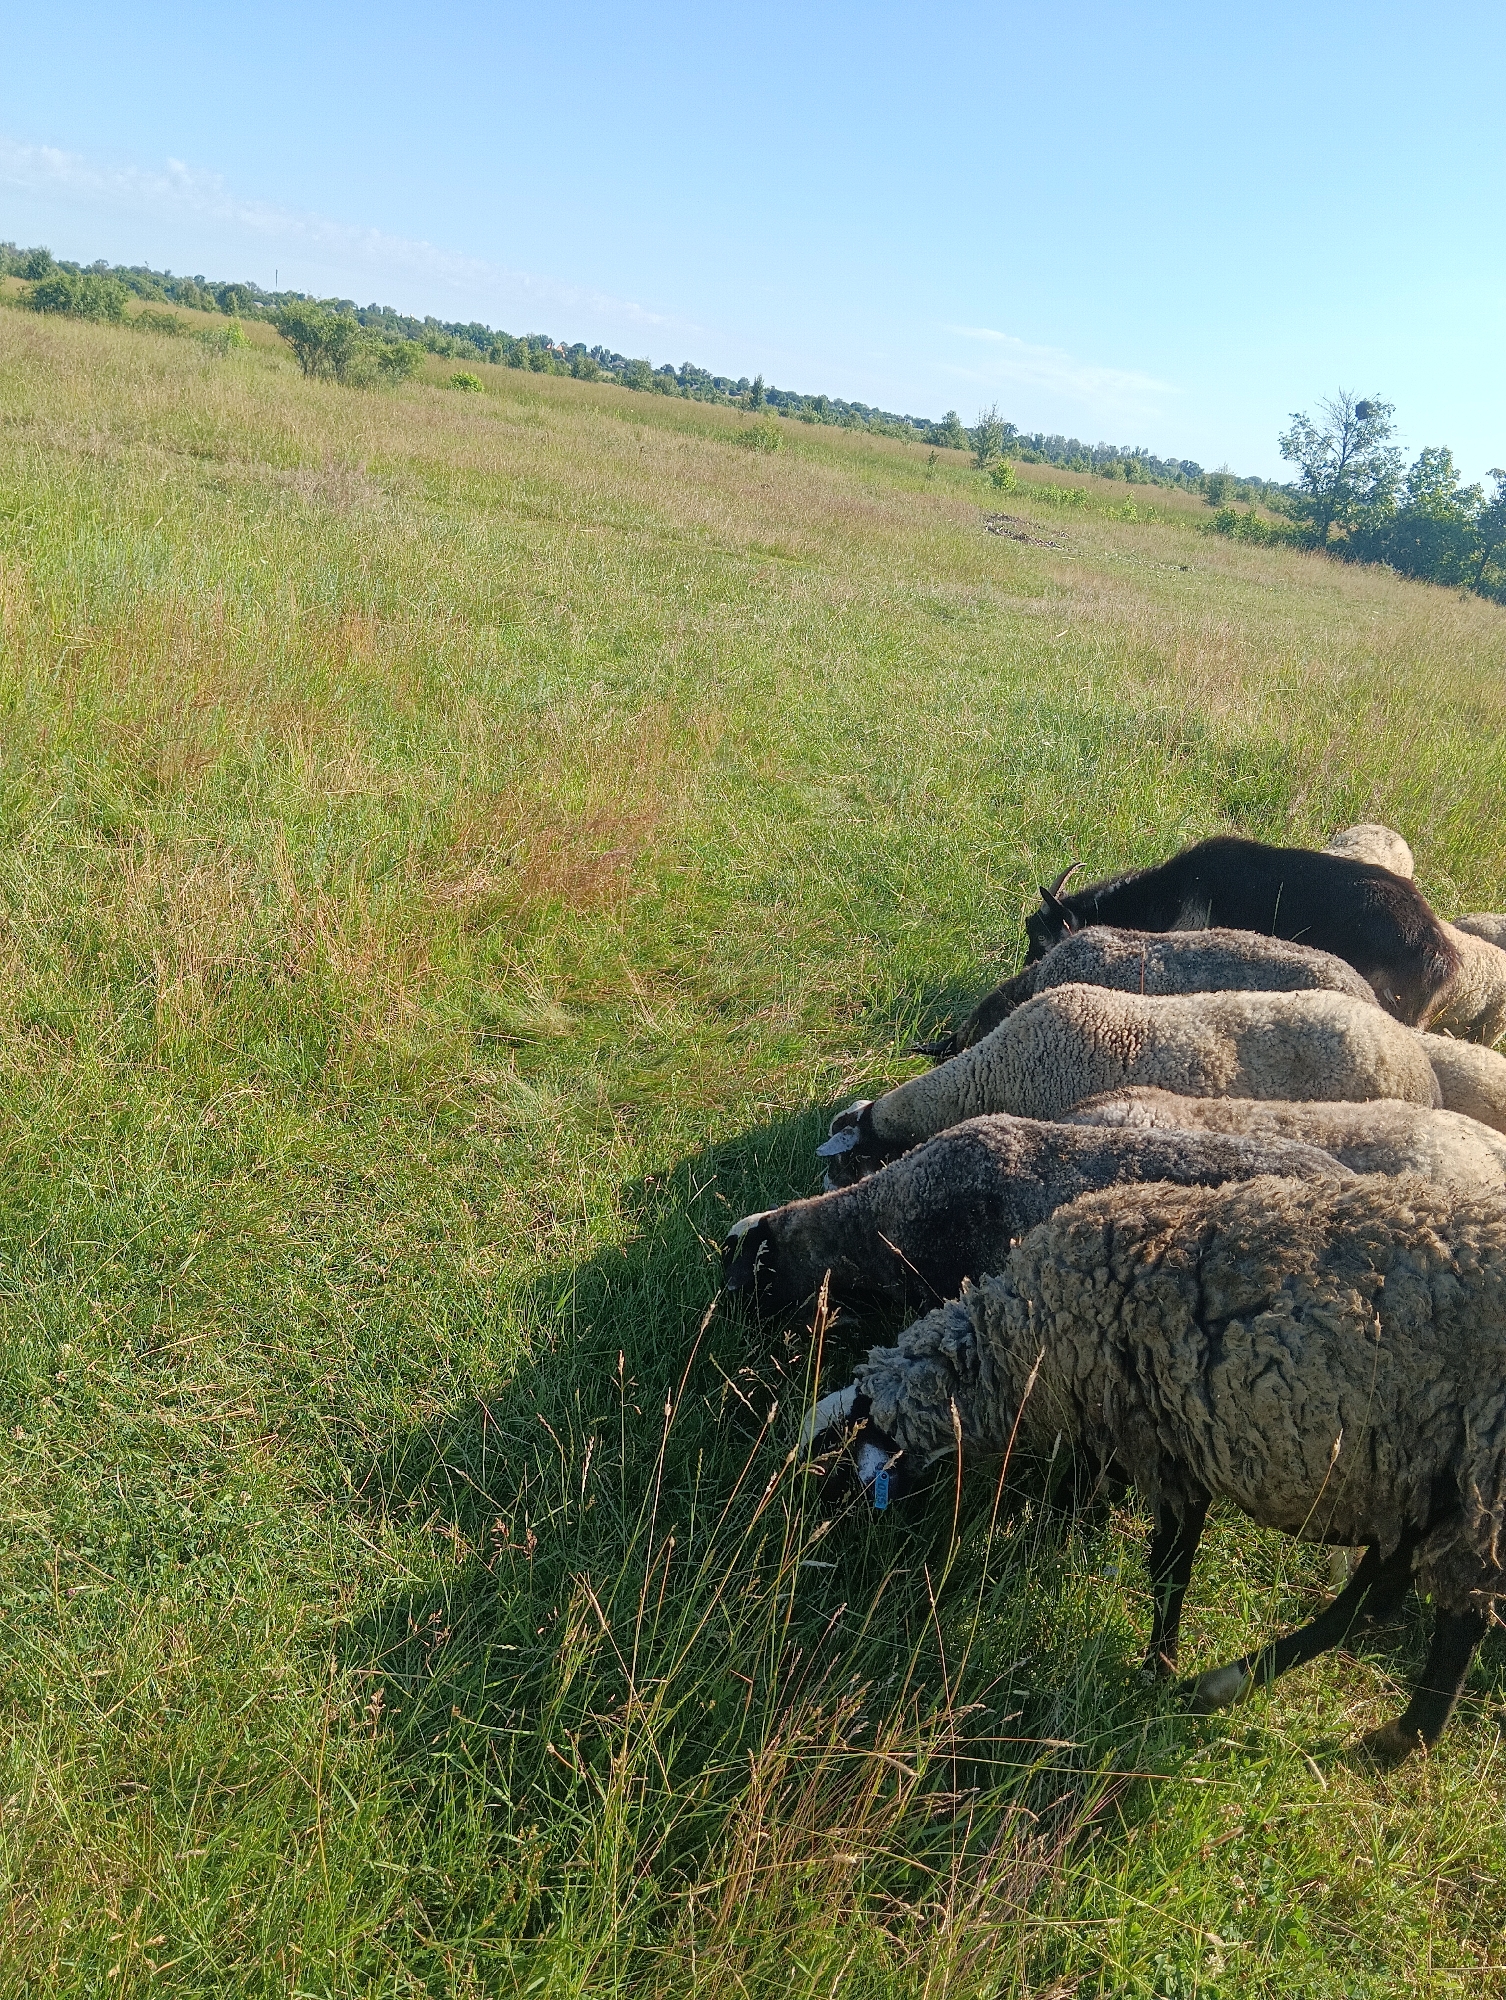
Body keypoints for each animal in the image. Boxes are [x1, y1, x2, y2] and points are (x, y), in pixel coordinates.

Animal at [807, 1173, 1506, 1760]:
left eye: (838, 1456)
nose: (824, 1542)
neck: (1023, 1340)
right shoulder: (1125, 1433)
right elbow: (1075, 1503)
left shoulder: (1159, 1436)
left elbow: (1168, 1564)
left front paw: (1156, 1664)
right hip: (1424, 1479)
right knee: (1387, 1600)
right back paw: (1382, 1729)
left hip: (1476, 1469)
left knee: (1448, 1618)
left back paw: (1338, 1720)